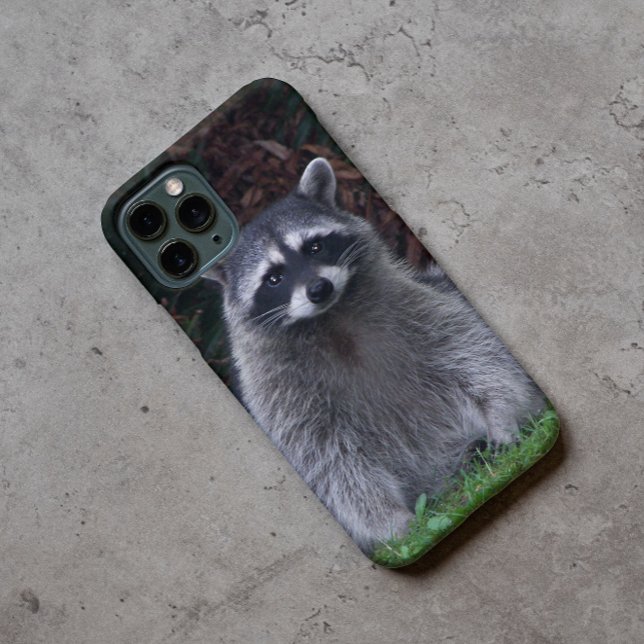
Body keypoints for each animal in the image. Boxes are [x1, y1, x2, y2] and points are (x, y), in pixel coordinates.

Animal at [205, 157, 546, 554]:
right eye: (274, 278)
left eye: (315, 246)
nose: (319, 289)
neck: (330, 318)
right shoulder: (279, 396)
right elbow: (328, 460)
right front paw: (389, 521)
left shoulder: (419, 307)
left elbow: (474, 353)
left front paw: (503, 413)